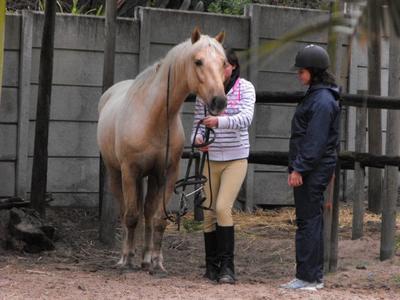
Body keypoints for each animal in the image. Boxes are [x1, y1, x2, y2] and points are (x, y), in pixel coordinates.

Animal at [97, 28, 228, 274]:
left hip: (151, 177)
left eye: (223, 63)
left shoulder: (167, 173)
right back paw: (125, 257)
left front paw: (156, 262)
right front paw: (127, 260)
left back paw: (146, 258)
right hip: (116, 173)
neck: (154, 117)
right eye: (198, 61)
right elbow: (131, 216)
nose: (219, 101)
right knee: (126, 211)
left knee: (148, 212)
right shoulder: (130, 171)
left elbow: (159, 219)